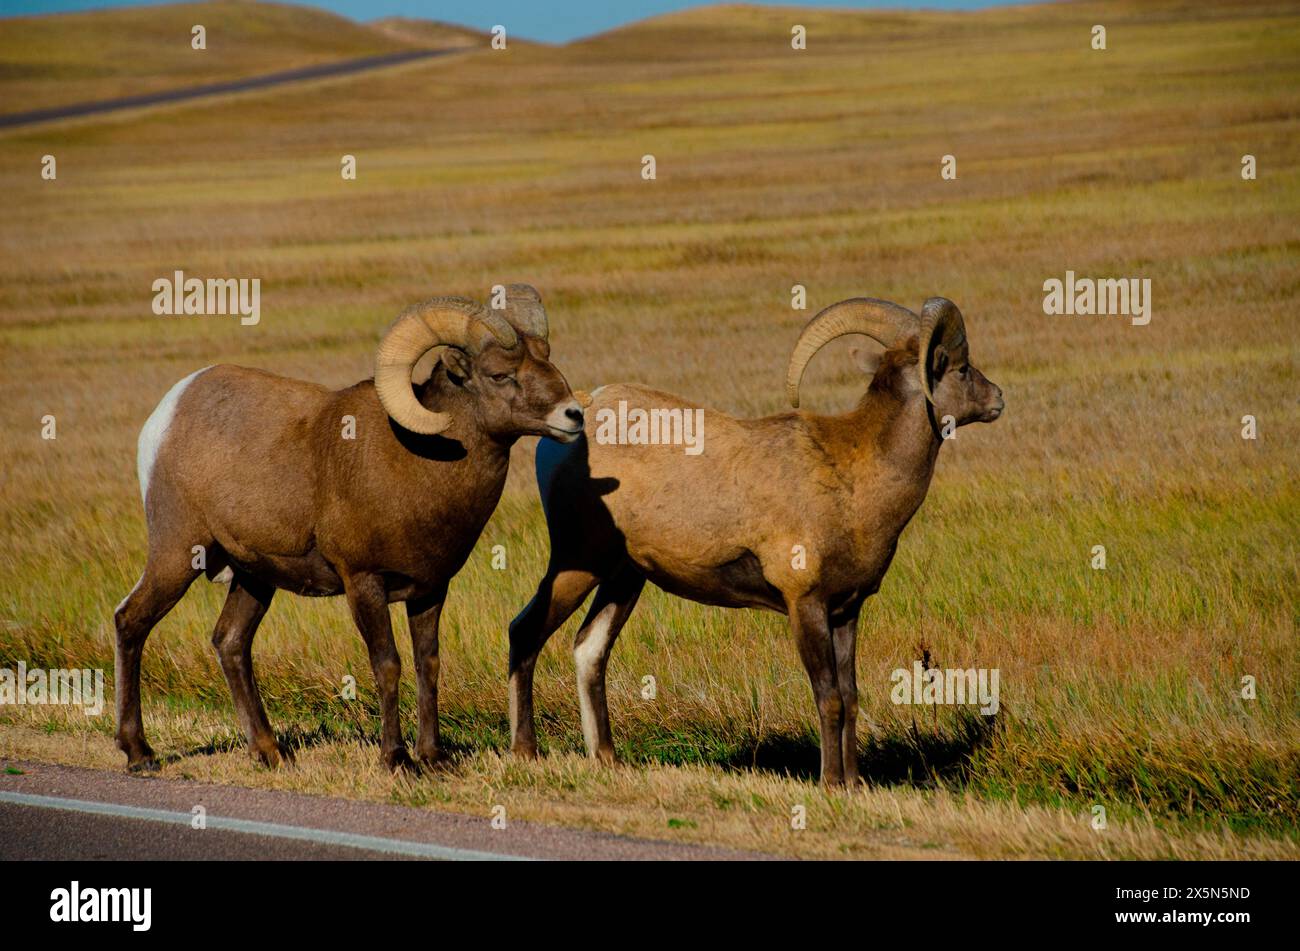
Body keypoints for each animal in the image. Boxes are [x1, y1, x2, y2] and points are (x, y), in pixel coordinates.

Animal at [116, 284, 585, 774]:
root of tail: (167, 415)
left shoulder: (430, 591)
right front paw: (396, 759)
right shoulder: (364, 584)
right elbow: (388, 665)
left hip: (253, 577)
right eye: (499, 375)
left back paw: (270, 752)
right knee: (131, 622)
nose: (573, 415)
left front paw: (434, 757)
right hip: (178, 553)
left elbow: (428, 665)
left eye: (547, 359)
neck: (418, 461)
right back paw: (139, 753)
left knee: (230, 643)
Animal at [506, 297, 1003, 789]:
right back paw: (526, 751)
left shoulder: (847, 612)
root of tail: (576, 421)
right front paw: (830, 783)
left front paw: (854, 783)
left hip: (624, 578)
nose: (998, 398)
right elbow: (829, 698)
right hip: (578, 563)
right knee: (525, 632)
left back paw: (607, 758)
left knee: (590, 649)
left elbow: (851, 696)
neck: (857, 473)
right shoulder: (806, 605)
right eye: (960, 368)